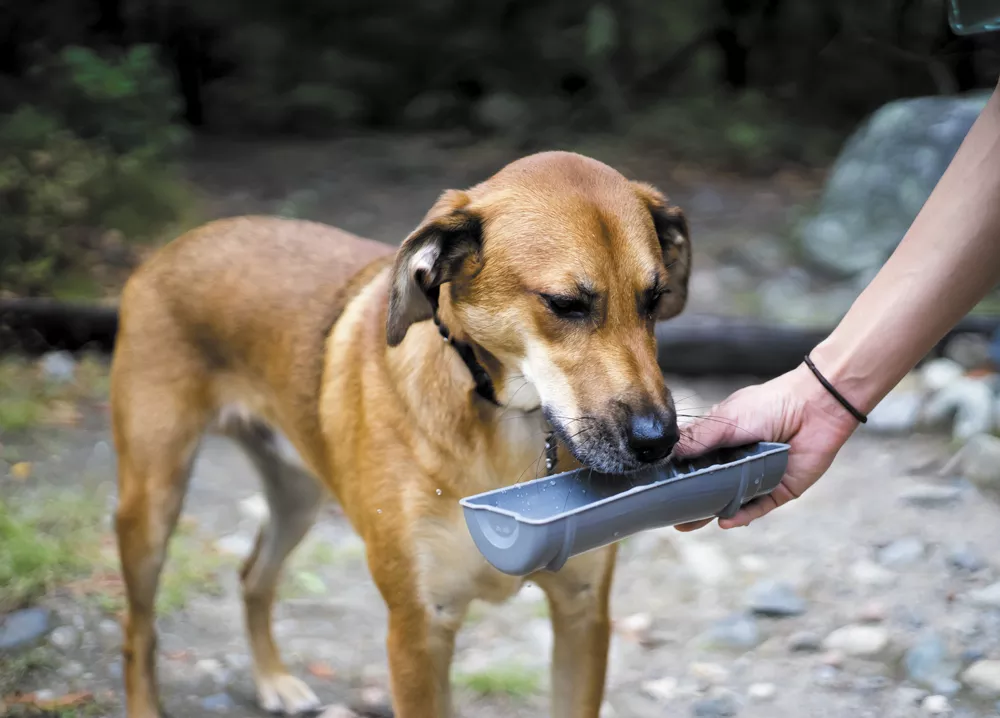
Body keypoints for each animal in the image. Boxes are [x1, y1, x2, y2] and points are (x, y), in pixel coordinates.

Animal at [107, 149, 688, 716]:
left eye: (654, 298)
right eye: (565, 304)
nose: (659, 440)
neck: (505, 414)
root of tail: (173, 247)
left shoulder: (582, 610)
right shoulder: (419, 629)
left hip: (297, 498)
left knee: (253, 577)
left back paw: (273, 680)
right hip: (153, 504)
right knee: (138, 629)